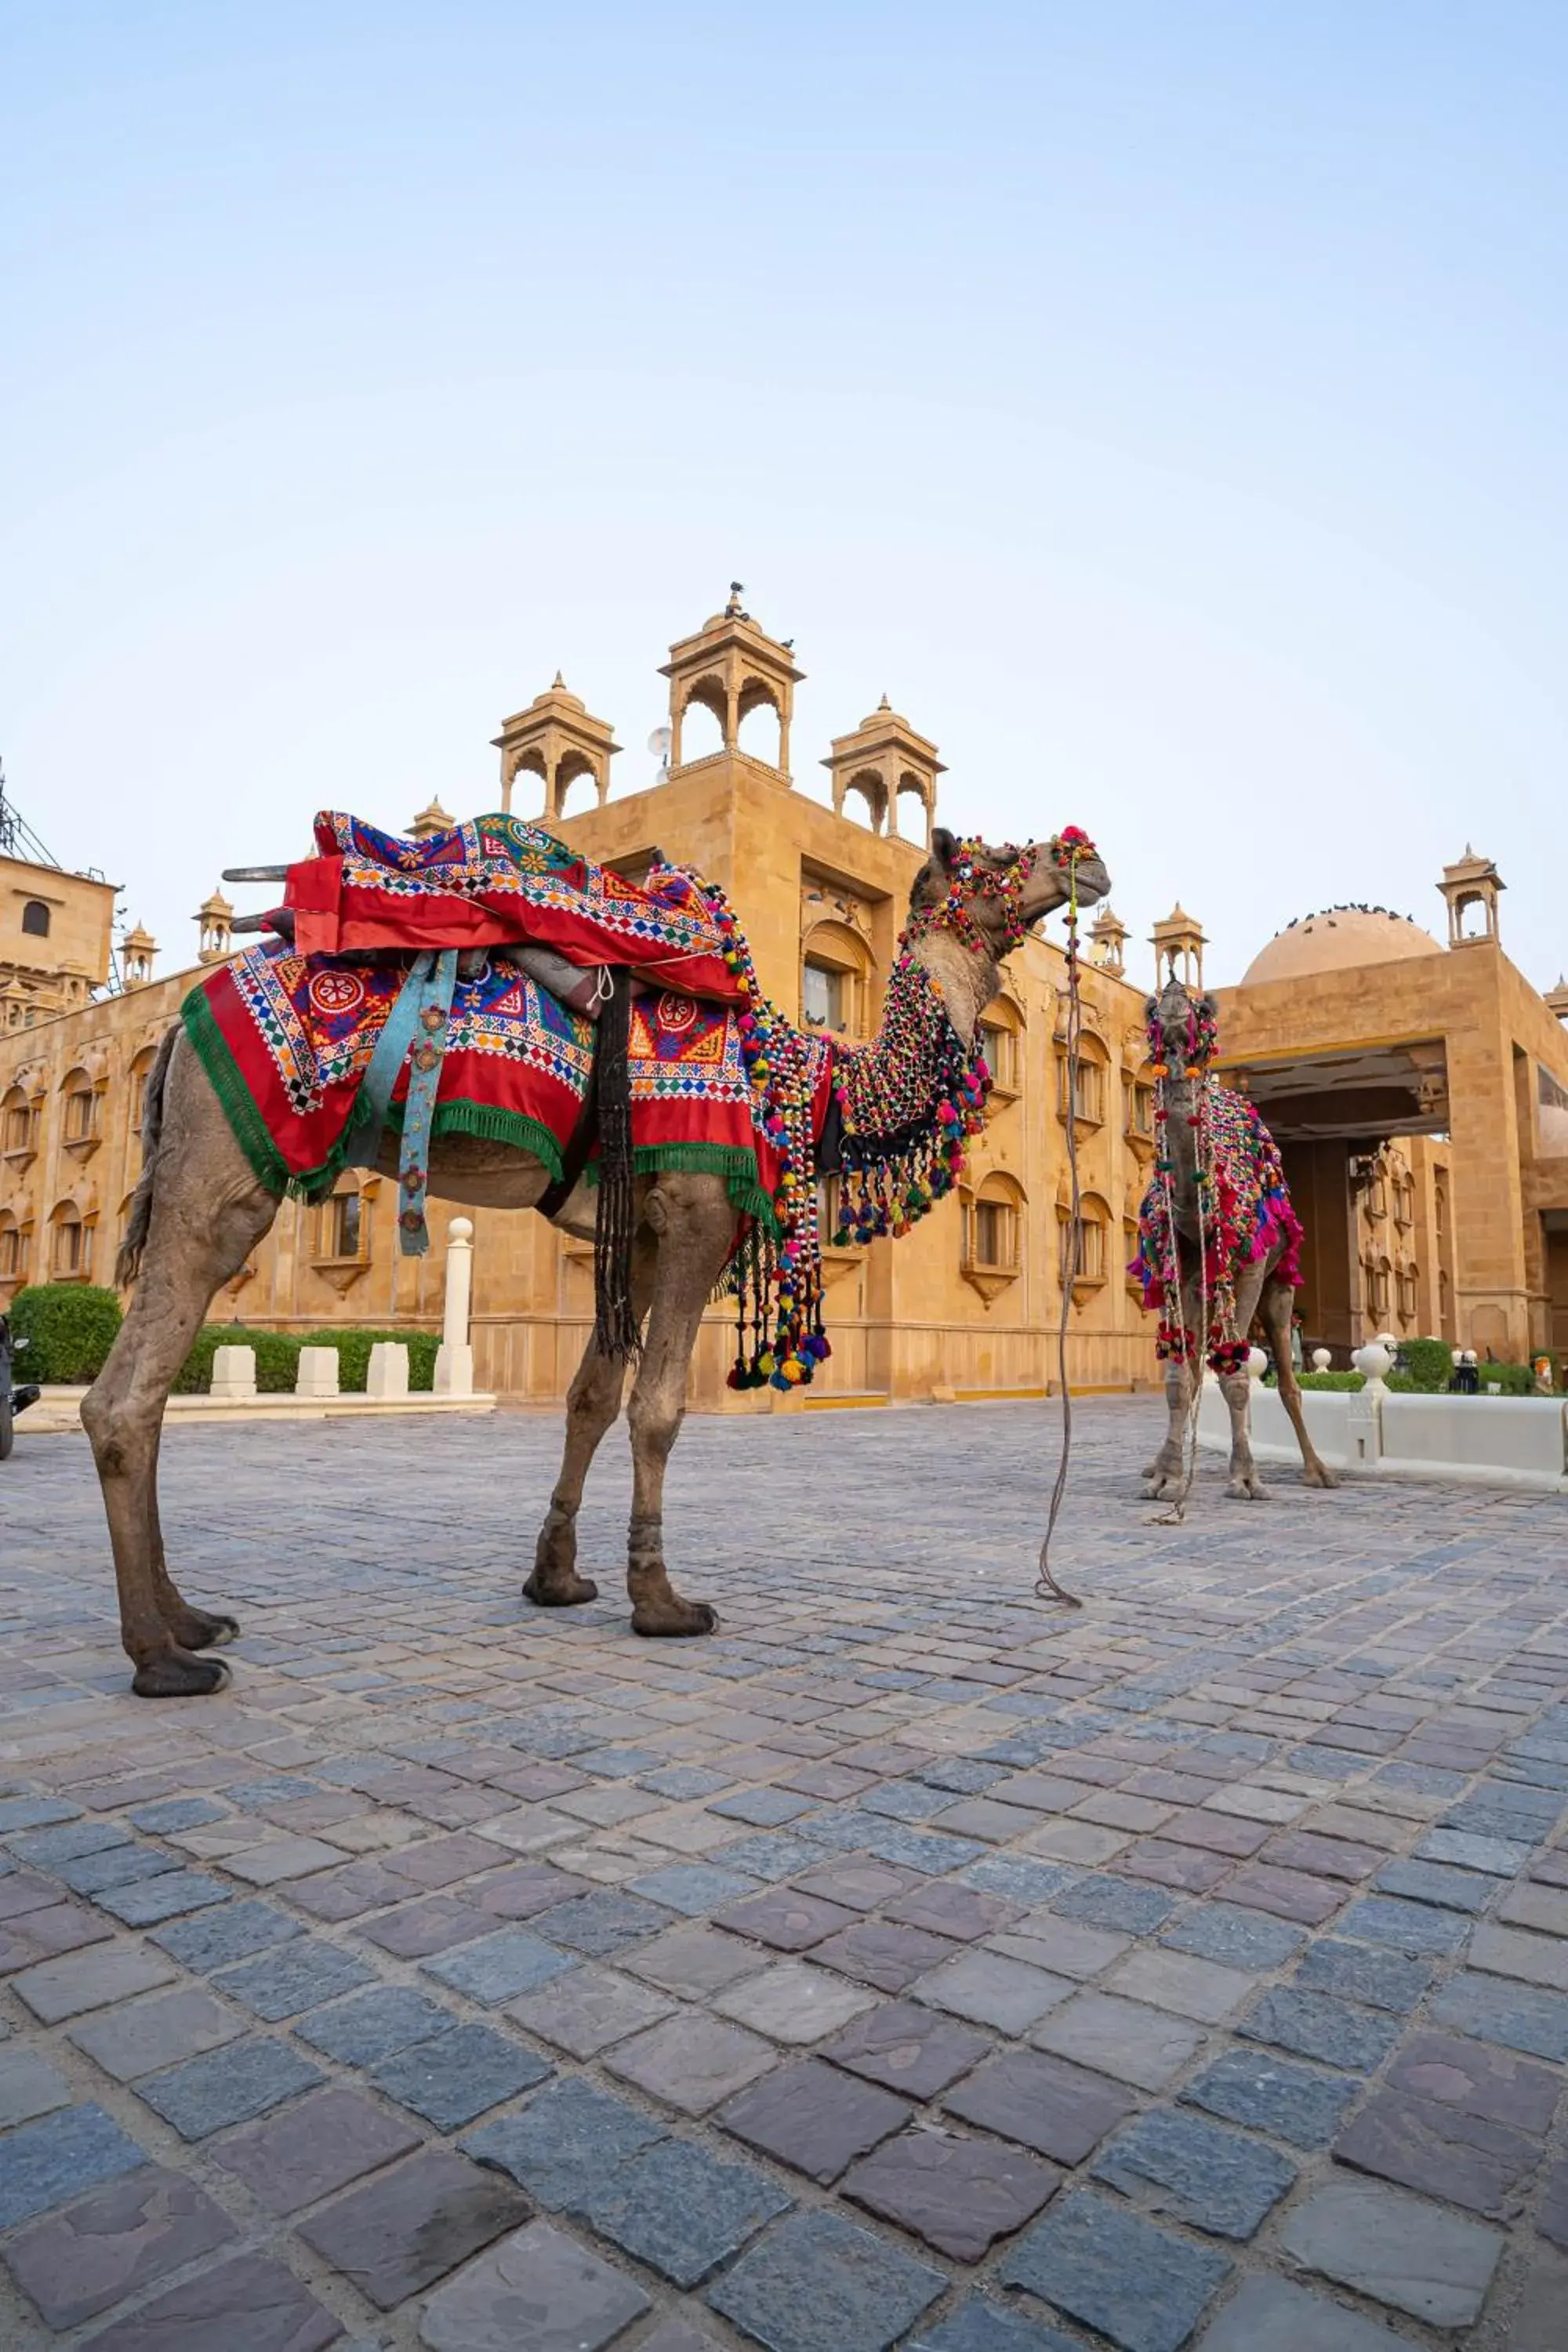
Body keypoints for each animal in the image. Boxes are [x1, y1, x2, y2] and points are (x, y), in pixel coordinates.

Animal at [82, 809, 1105, 1693]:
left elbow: (589, 1399)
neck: (804, 1085)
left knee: (141, 1391)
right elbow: (657, 1408)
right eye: (991, 856)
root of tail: (176, 1030)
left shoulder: (642, 1233)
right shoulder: (697, 1209)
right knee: (126, 1397)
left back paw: (190, 1619)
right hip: (224, 1171)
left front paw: (557, 1577)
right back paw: (161, 1658)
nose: (1084, 856)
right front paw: (661, 1600)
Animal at [1133, 978, 1345, 1496]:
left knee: (1288, 1379)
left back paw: (1319, 1470)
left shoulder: (1247, 1264)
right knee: (1195, 1368)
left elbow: (1237, 1376)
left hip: (1280, 1281)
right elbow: (1178, 1376)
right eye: (1150, 1008)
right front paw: (1165, 1477)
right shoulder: (1176, 1266)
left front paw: (1246, 1477)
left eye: (1207, 1008)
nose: (1174, 992)